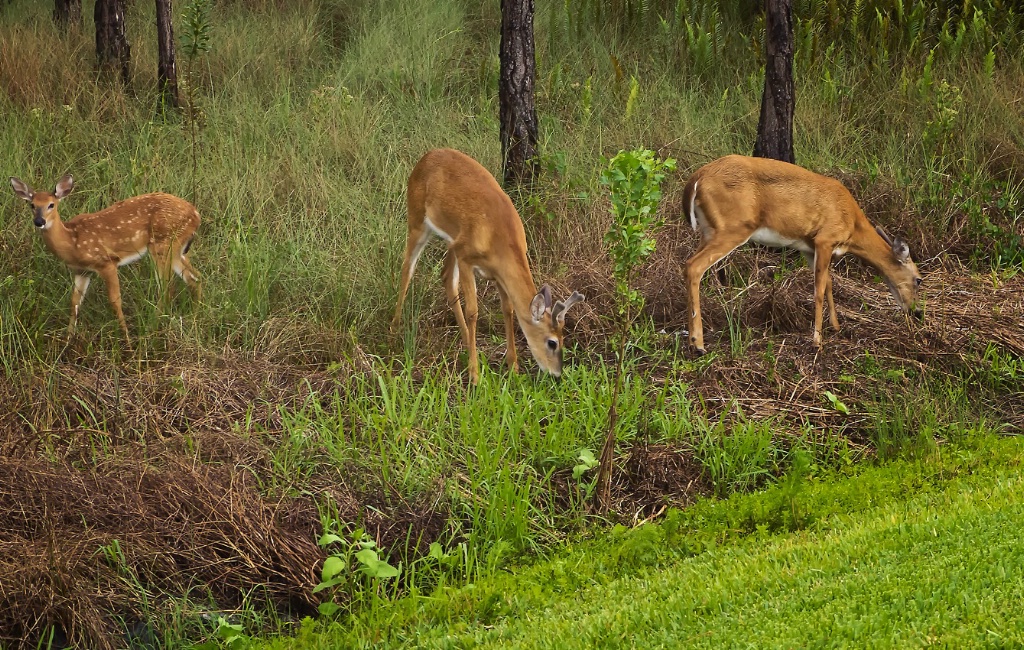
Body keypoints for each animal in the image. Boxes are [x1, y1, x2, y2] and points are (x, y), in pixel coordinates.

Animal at [9, 172, 200, 345]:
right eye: (32, 204)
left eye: (51, 205)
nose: (39, 221)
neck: (72, 242)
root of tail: (196, 214)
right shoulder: (81, 271)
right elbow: (74, 303)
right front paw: (67, 340)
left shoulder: (107, 262)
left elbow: (115, 301)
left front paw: (127, 341)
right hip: (177, 249)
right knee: (194, 278)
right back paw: (194, 314)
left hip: (162, 244)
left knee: (168, 286)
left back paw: (152, 326)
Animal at [391, 150, 585, 384]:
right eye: (552, 342)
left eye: (564, 338)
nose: (556, 374)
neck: (499, 238)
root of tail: (425, 157)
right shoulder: (467, 258)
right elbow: (473, 311)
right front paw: (475, 376)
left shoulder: (497, 274)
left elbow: (508, 309)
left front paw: (513, 367)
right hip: (417, 221)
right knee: (407, 269)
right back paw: (394, 330)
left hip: (452, 241)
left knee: (446, 277)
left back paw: (467, 340)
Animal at [679, 155, 929, 354]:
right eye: (918, 279)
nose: (917, 312)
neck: (853, 227)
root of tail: (697, 178)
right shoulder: (825, 239)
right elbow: (818, 290)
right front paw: (817, 341)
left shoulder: (809, 248)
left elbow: (828, 284)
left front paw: (836, 327)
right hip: (734, 227)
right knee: (693, 266)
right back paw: (698, 344)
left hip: (708, 231)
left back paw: (692, 339)